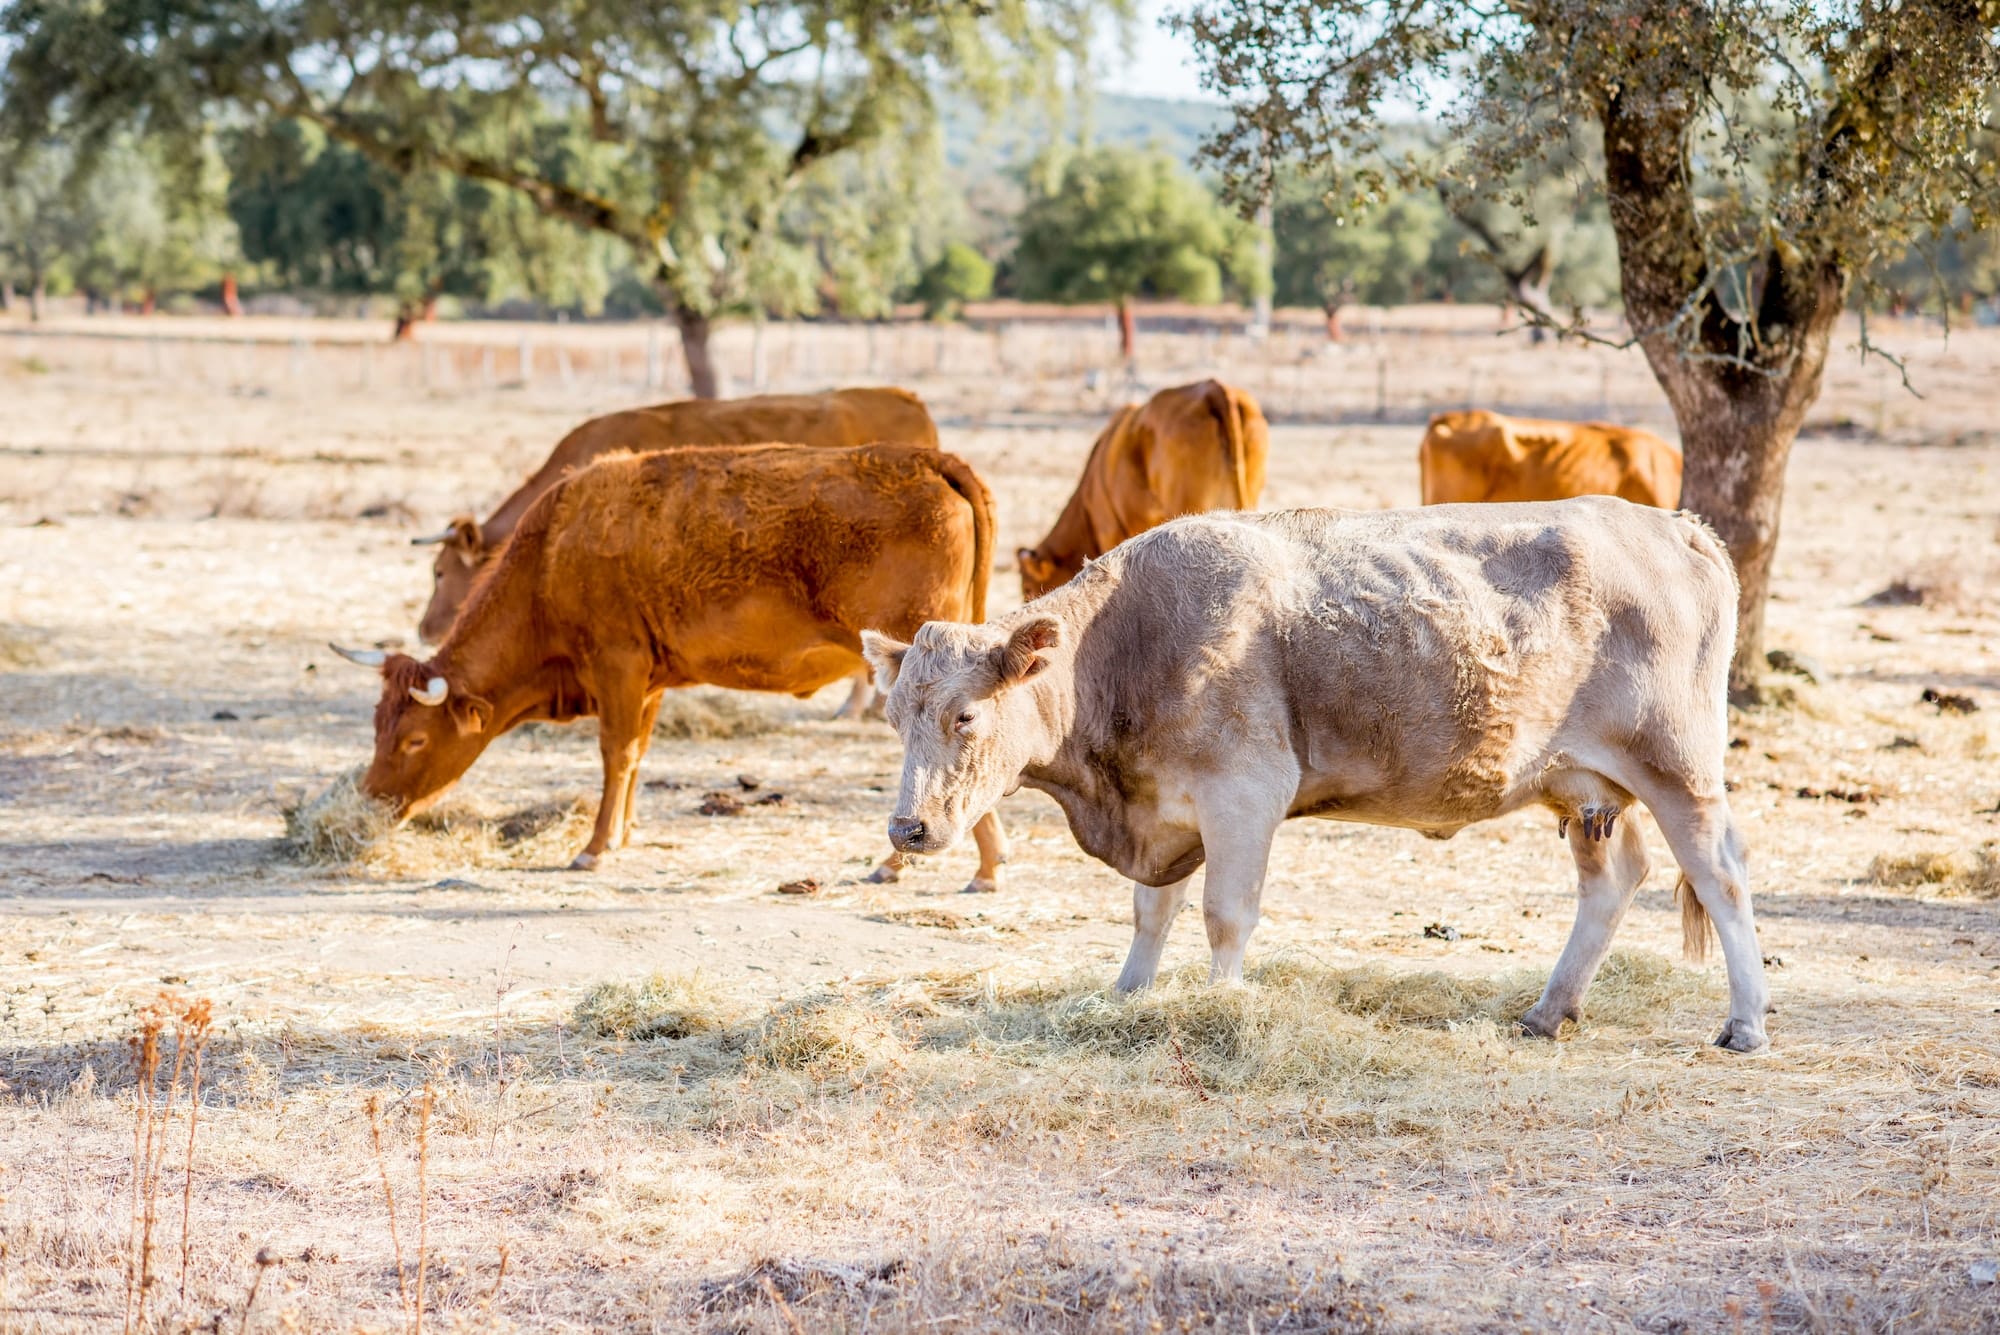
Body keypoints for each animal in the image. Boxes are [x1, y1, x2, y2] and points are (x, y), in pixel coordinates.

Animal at [338, 443, 1016, 891]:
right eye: (376, 727)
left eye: (413, 739)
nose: (368, 801)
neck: (555, 549)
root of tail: (929, 461)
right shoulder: (648, 680)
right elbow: (637, 755)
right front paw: (623, 832)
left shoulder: (615, 665)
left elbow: (615, 753)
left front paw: (593, 847)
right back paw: (984, 866)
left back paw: (898, 863)